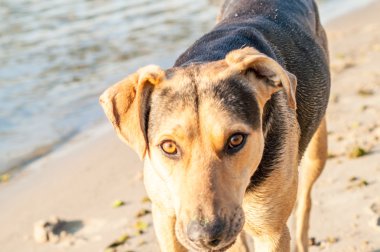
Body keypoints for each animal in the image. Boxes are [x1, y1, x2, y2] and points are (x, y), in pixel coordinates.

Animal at [99, 0, 328, 251]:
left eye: (236, 140)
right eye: (168, 147)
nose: (205, 236)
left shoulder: (271, 233)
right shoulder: (164, 217)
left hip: (316, 153)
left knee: (305, 200)